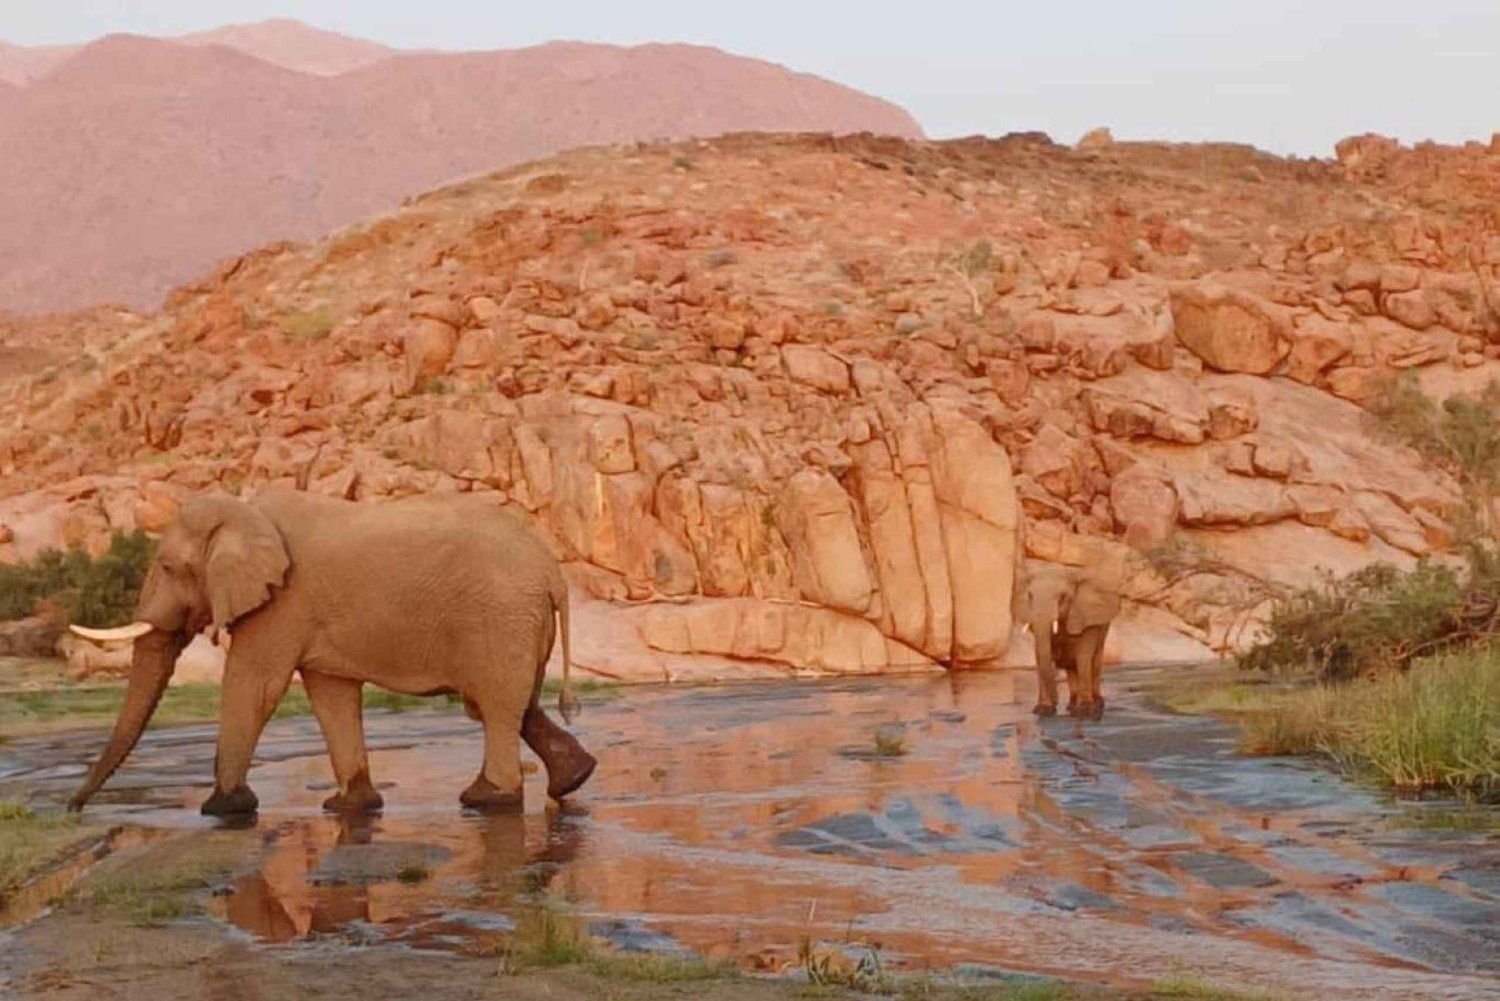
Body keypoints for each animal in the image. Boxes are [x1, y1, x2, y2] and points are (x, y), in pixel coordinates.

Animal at [66, 489, 596, 817]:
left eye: (167, 567)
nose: (72, 810)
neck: (245, 511)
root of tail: (552, 573)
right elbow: (330, 694)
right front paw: (350, 807)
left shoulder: (284, 602)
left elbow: (254, 684)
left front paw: (223, 809)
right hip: (518, 622)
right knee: (515, 702)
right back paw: (572, 779)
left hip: (499, 617)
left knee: (495, 704)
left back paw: (486, 799)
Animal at [1014, 561, 1121, 720]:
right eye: (1030, 596)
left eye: (1062, 597)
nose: (1054, 701)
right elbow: (1040, 655)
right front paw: (1043, 709)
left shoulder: (1088, 617)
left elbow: (1083, 656)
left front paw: (1085, 710)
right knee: (1070, 665)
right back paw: (1072, 704)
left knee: (1094, 662)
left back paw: (1097, 703)